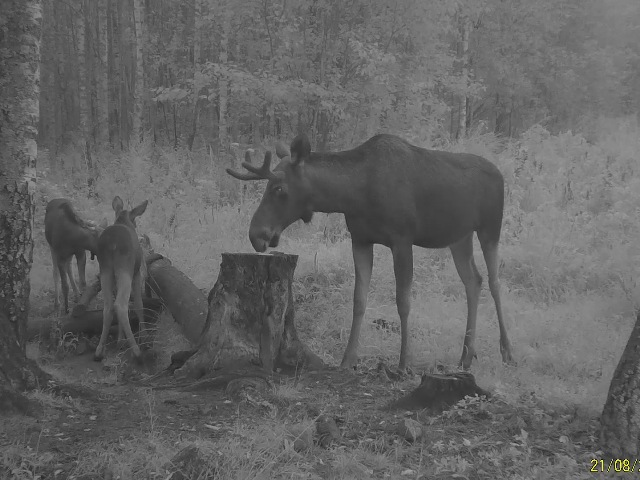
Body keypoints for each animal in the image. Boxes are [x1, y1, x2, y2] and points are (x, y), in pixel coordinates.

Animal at [94, 196, 149, 363]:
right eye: (135, 219)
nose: (136, 225)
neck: (123, 220)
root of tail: (112, 244)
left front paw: (120, 339)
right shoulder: (137, 273)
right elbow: (139, 304)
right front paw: (144, 335)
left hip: (105, 270)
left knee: (108, 306)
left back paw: (99, 350)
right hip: (126, 269)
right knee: (121, 305)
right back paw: (137, 351)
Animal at [227, 134, 514, 372]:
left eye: (279, 189)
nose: (256, 234)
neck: (353, 196)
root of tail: (501, 174)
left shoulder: (402, 239)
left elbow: (403, 301)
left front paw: (403, 363)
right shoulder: (361, 240)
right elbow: (359, 300)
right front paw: (347, 360)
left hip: (490, 228)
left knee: (495, 281)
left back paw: (507, 351)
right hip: (460, 237)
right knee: (473, 281)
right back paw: (465, 356)